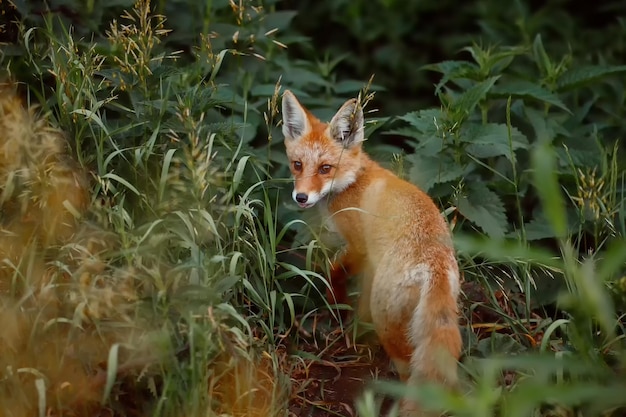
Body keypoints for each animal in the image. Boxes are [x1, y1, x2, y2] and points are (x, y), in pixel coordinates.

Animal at [280, 90, 460, 412]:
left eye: (325, 168)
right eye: (297, 164)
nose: (301, 197)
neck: (353, 181)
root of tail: (434, 264)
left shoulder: (359, 247)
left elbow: (334, 272)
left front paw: (337, 306)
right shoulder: (369, 264)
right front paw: (354, 332)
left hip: (388, 323)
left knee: (409, 374)